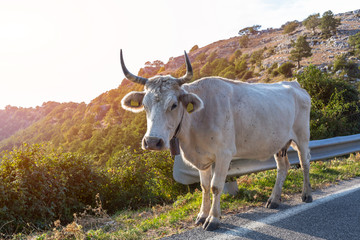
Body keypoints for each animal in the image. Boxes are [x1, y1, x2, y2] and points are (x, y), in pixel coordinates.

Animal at [119, 50, 310, 231]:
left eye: (173, 104)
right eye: (145, 105)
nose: (152, 141)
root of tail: (294, 84)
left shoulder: (224, 154)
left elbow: (215, 186)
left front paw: (213, 219)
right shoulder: (202, 157)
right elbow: (204, 186)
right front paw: (202, 215)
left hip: (302, 136)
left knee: (304, 162)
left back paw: (306, 194)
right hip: (279, 143)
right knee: (283, 167)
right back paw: (274, 199)